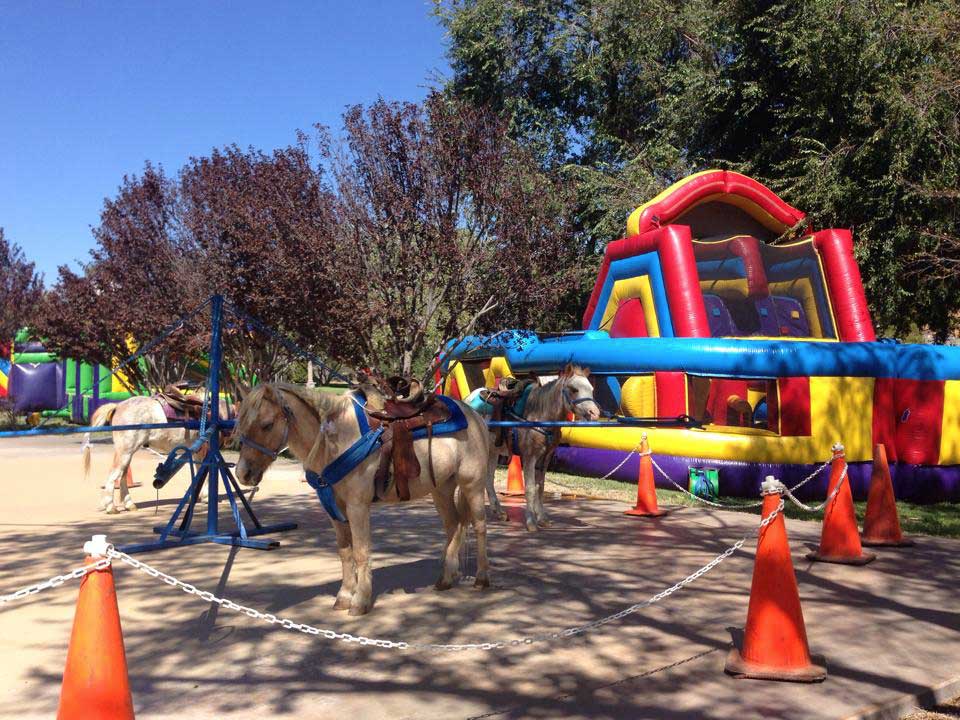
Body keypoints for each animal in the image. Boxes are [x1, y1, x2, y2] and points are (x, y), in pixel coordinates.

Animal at [83, 391, 226, 514]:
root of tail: (118, 406)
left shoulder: (197, 451)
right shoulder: (205, 449)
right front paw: (206, 497)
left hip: (128, 453)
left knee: (122, 477)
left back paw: (129, 505)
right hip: (125, 452)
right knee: (113, 475)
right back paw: (111, 507)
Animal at [233, 383, 492, 616]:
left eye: (267, 425)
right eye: (240, 424)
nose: (243, 474)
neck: (335, 440)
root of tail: (473, 416)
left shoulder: (357, 506)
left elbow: (360, 552)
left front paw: (360, 601)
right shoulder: (334, 509)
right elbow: (345, 552)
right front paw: (344, 596)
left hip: (472, 485)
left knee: (479, 526)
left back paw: (481, 578)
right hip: (441, 490)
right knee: (453, 525)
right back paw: (446, 578)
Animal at [482, 364, 601, 531]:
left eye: (591, 389)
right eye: (573, 389)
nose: (594, 413)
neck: (539, 415)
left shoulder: (545, 457)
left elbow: (540, 486)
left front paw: (542, 518)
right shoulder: (529, 457)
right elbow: (530, 488)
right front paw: (531, 521)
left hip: (493, 451)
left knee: (488, 478)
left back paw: (499, 512)